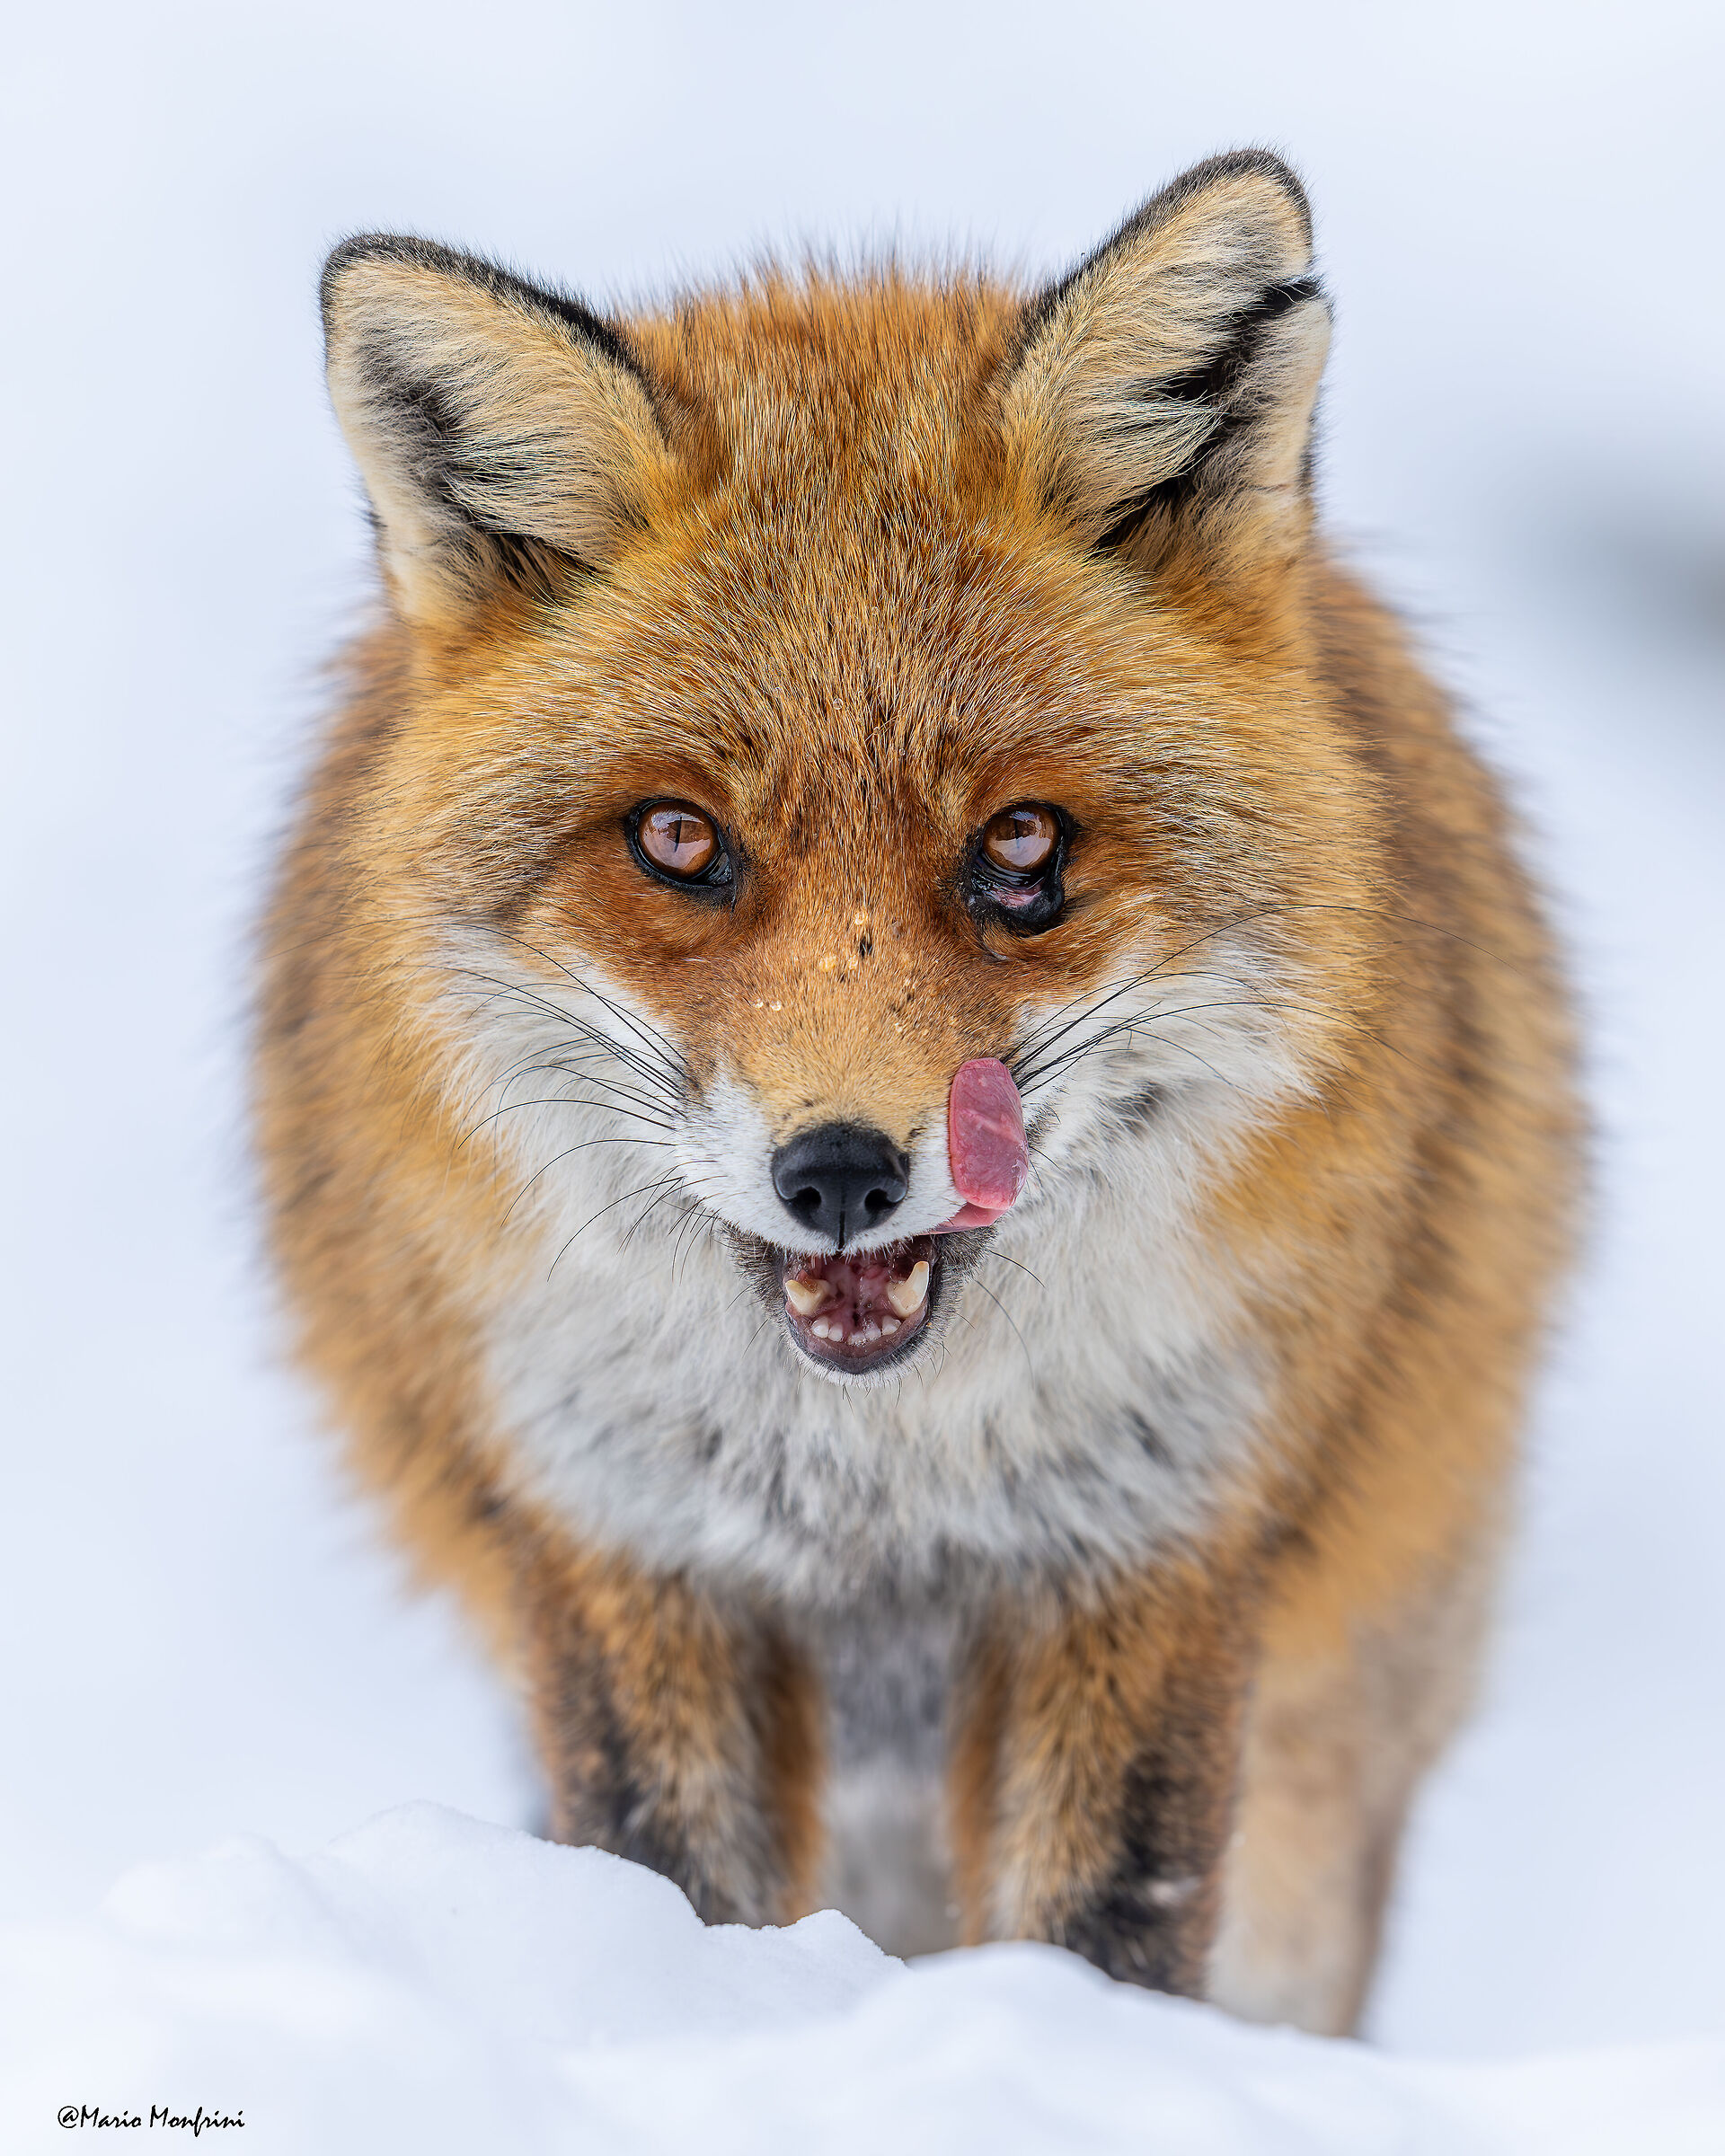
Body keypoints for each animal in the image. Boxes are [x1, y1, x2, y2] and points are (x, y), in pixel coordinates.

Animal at [256, 149, 1579, 2036]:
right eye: (681, 841)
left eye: (1020, 846)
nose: (839, 1173)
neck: (876, 1497)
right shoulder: (628, 1553)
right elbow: (671, 1887)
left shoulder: (1152, 1558)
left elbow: (1098, 1939)